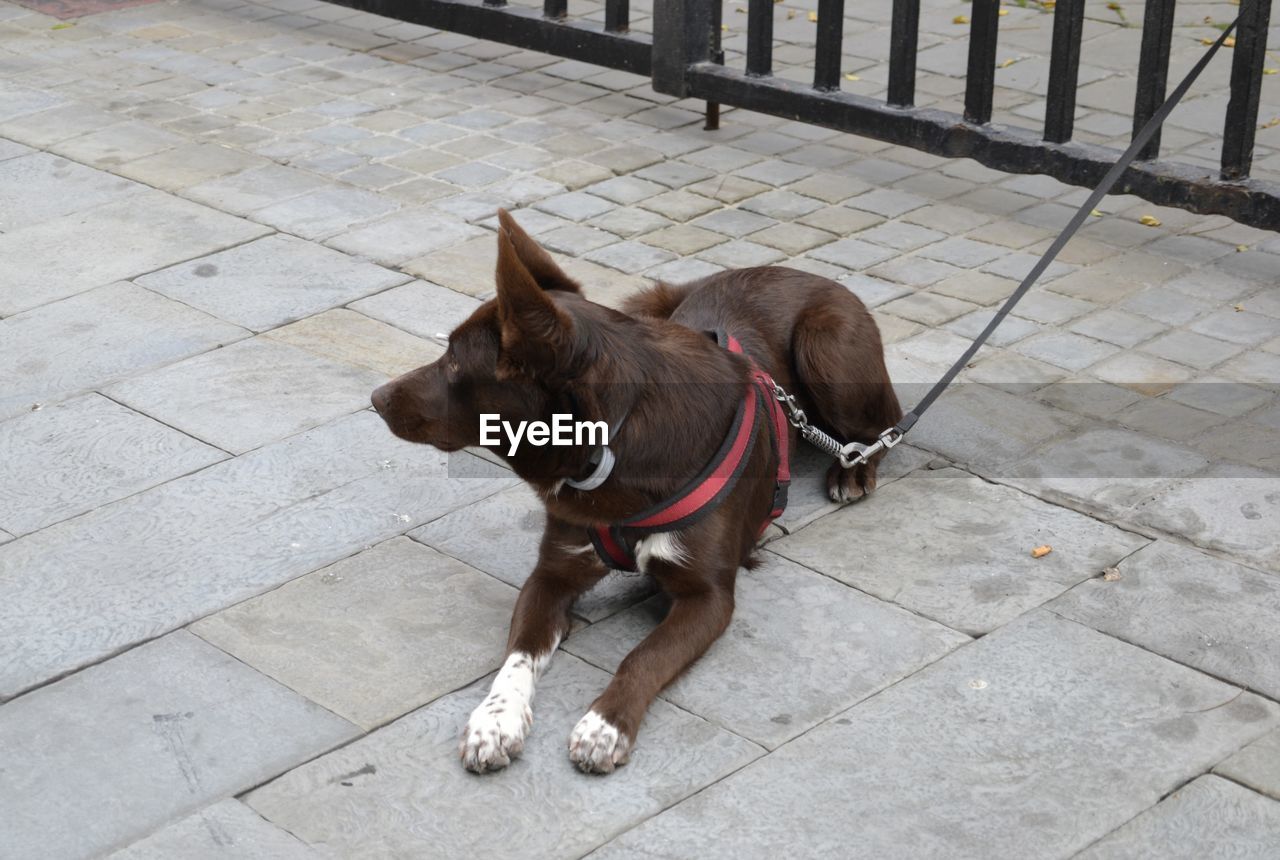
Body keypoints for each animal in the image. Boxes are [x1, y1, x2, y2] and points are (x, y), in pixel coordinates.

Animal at [371, 211, 901, 778]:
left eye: (453, 364)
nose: (375, 398)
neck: (612, 447)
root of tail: (801, 271)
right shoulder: (552, 573)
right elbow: (516, 656)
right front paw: (494, 721)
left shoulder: (708, 596)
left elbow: (644, 656)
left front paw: (604, 726)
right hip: (650, 301)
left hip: (827, 347)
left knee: (885, 425)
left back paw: (852, 472)